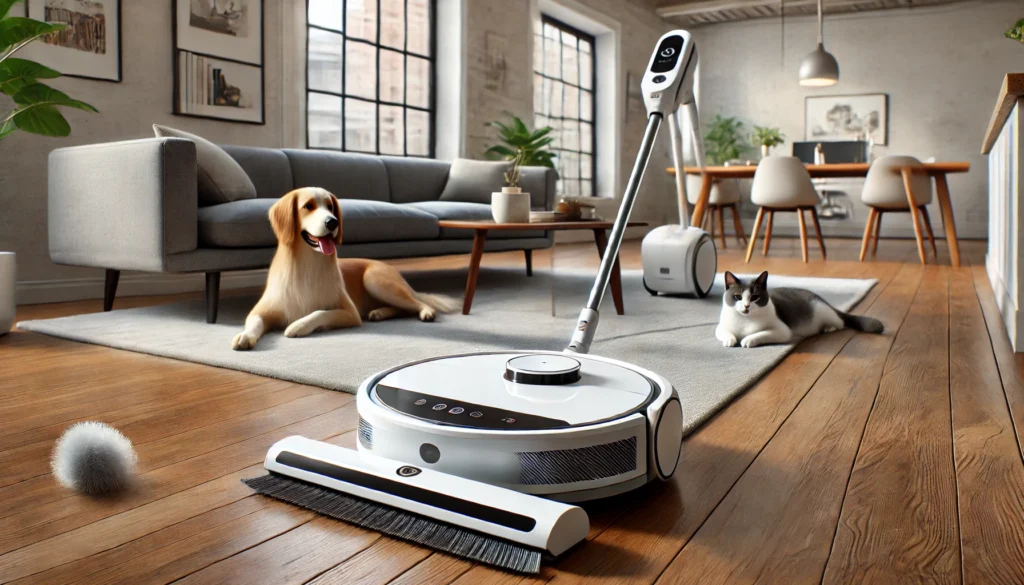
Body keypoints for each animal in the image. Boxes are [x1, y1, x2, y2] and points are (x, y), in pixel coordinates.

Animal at [234, 188, 458, 352]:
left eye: (330, 206)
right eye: (308, 206)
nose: (332, 222)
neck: (306, 265)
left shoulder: (350, 313)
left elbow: (319, 312)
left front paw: (298, 325)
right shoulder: (260, 311)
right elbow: (253, 323)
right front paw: (245, 335)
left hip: (374, 279)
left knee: (416, 303)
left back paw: (425, 312)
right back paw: (379, 312)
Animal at [716, 270, 884, 348]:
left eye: (754, 297)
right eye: (737, 297)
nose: (746, 306)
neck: (745, 321)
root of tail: (823, 299)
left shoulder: (781, 330)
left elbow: (759, 334)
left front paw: (747, 340)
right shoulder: (721, 327)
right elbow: (724, 332)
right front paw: (730, 340)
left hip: (825, 312)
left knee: (841, 323)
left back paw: (828, 328)